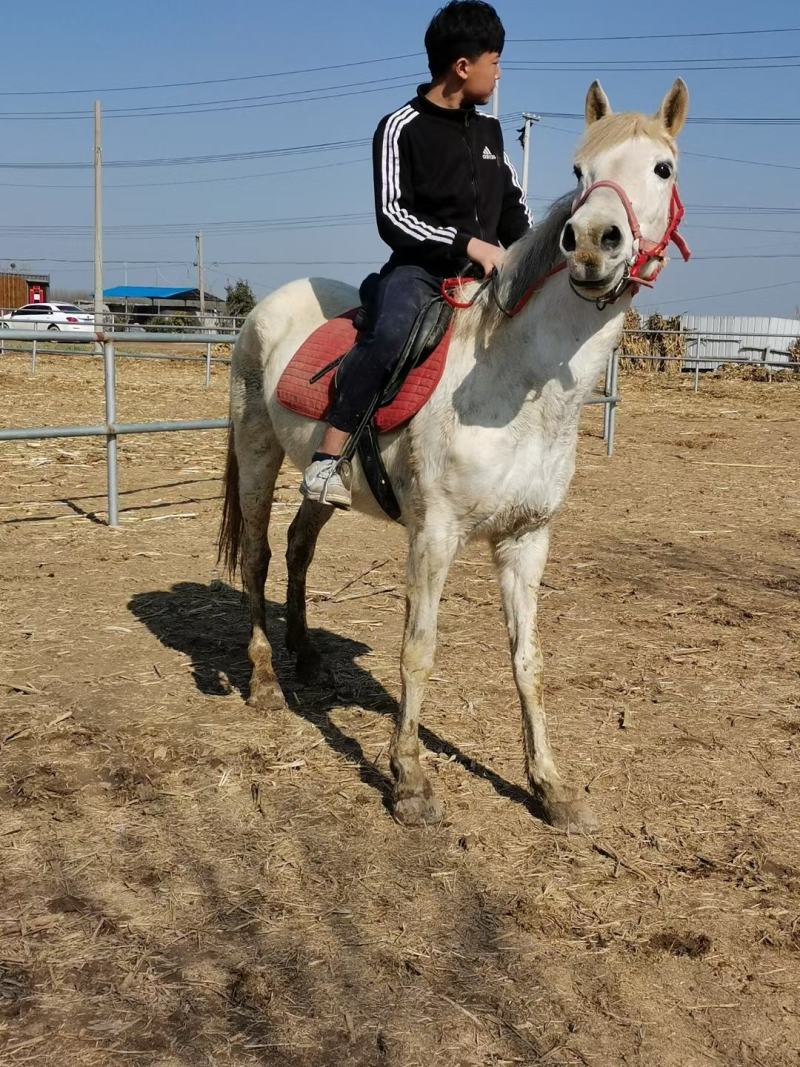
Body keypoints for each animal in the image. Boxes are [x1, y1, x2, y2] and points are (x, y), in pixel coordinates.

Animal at [218, 78, 690, 833]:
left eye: (662, 168)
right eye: (580, 172)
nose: (591, 242)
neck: (516, 383)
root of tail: (269, 306)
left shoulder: (527, 539)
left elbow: (528, 660)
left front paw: (551, 787)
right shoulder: (434, 535)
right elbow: (419, 650)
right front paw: (409, 779)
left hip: (328, 491)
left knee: (297, 547)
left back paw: (309, 658)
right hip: (257, 453)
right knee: (259, 557)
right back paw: (264, 678)